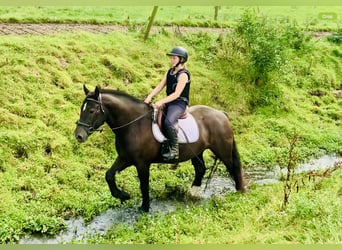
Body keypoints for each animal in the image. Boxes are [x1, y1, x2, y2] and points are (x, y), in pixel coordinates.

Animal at [74, 85, 246, 212]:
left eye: (91, 110)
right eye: (82, 109)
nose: (79, 136)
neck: (133, 125)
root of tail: (220, 113)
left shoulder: (142, 163)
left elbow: (144, 185)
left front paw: (145, 207)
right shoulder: (125, 158)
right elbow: (109, 175)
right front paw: (122, 195)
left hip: (222, 150)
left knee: (233, 167)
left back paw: (240, 192)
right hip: (197, 151)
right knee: (200, 169)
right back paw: (193, 192)